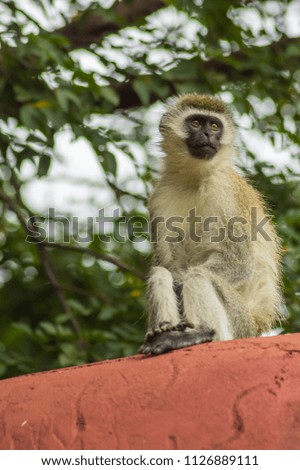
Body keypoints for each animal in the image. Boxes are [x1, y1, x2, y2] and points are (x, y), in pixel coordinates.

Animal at [140, 92, 282, 356]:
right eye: (196, 123)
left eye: (214, 126)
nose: (207, 134)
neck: (195, 179)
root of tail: (256, 323)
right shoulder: (159, 196)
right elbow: (169, 264)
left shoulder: (225, 190)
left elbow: (239, 262)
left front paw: (180, 283)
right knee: (161, 273)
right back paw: (164, 334)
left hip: (240, 322)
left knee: (198, 275)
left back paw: (201, 335)